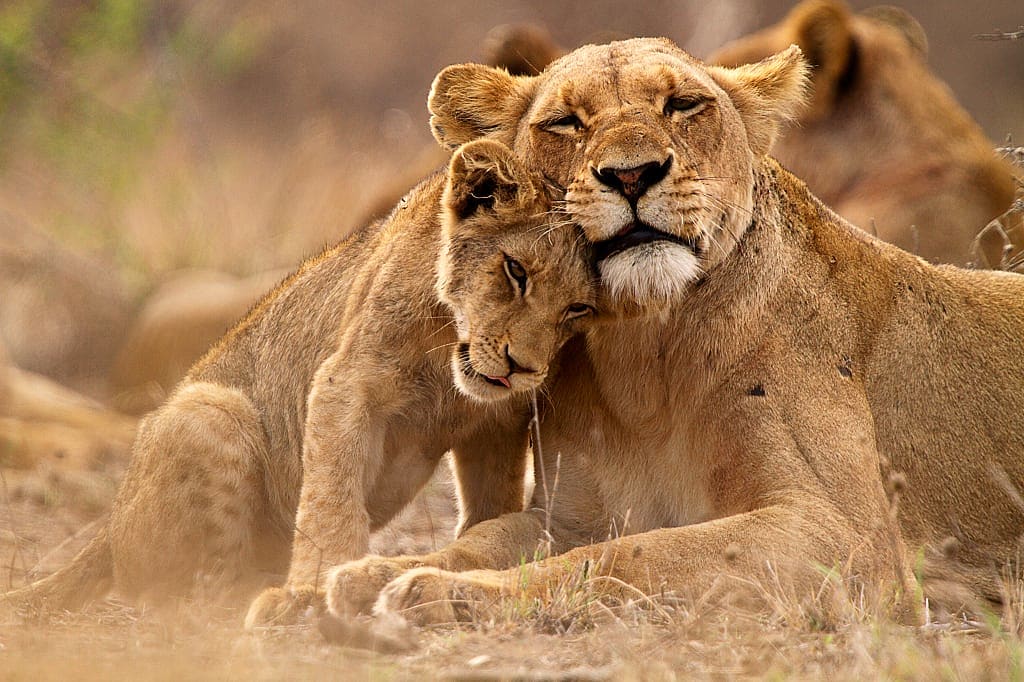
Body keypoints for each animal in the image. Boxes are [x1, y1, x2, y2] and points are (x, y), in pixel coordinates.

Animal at [2, 139, 597, 617]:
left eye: (579, 309)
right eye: (515, 271)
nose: (522, 368)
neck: (447, 355)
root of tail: (107, 527)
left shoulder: (496, 424)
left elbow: (491, 506)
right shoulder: (345, 384)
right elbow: (332, 500)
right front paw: (313, 588)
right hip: (210, 410)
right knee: (187, 593)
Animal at [319, 38, 1024, 628]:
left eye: (683, 104)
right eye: (566, 122)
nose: (632, 174)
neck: (644, 356)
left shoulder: (851, 538)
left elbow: (632, 556)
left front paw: (438, 593)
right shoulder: (570, 517)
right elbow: (483, 538)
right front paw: (373, 573)